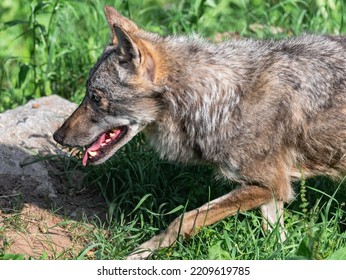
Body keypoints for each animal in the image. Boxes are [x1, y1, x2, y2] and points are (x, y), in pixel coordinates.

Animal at [53, 6, 346, 260]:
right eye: (86, 94)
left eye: (96, 97)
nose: (57, 136)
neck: (221, 100)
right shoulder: (272, 188)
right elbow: (277, 237)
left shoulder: (273, 184)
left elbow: (184, 219)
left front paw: (138, 254)